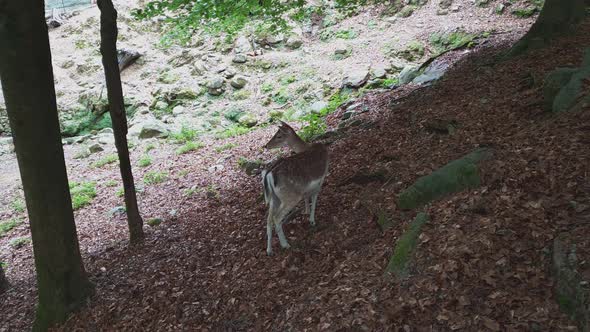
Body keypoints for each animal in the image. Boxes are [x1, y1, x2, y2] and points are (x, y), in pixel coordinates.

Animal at [262, 120, 330, 255]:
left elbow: (307, 196)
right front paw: (312, 220)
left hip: (274, 198)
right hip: (290, 196)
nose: (266, 146)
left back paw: (269, 250)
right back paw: (285, 244)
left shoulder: (306, 187)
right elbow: (314, 197)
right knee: (277, 218)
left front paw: (306, 212)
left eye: (279, 135)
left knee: (268, 219)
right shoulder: (322, 177)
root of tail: (269, 174)